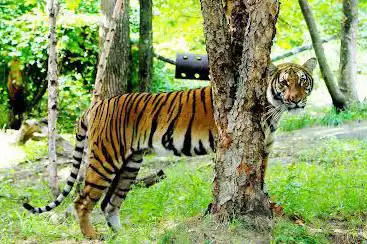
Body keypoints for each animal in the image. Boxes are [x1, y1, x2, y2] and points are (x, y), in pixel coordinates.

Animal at [23, 57, 318, 238]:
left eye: (303, 81)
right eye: (284, 82)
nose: (295, 100)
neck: (274, 109)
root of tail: (95, 106)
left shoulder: (265, 147)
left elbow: (261, 178)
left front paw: (267, 200)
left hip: (130, 164)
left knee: (110, 203)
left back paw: (122, 237)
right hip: (106, 158)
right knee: (82, 200)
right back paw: (92, 236)